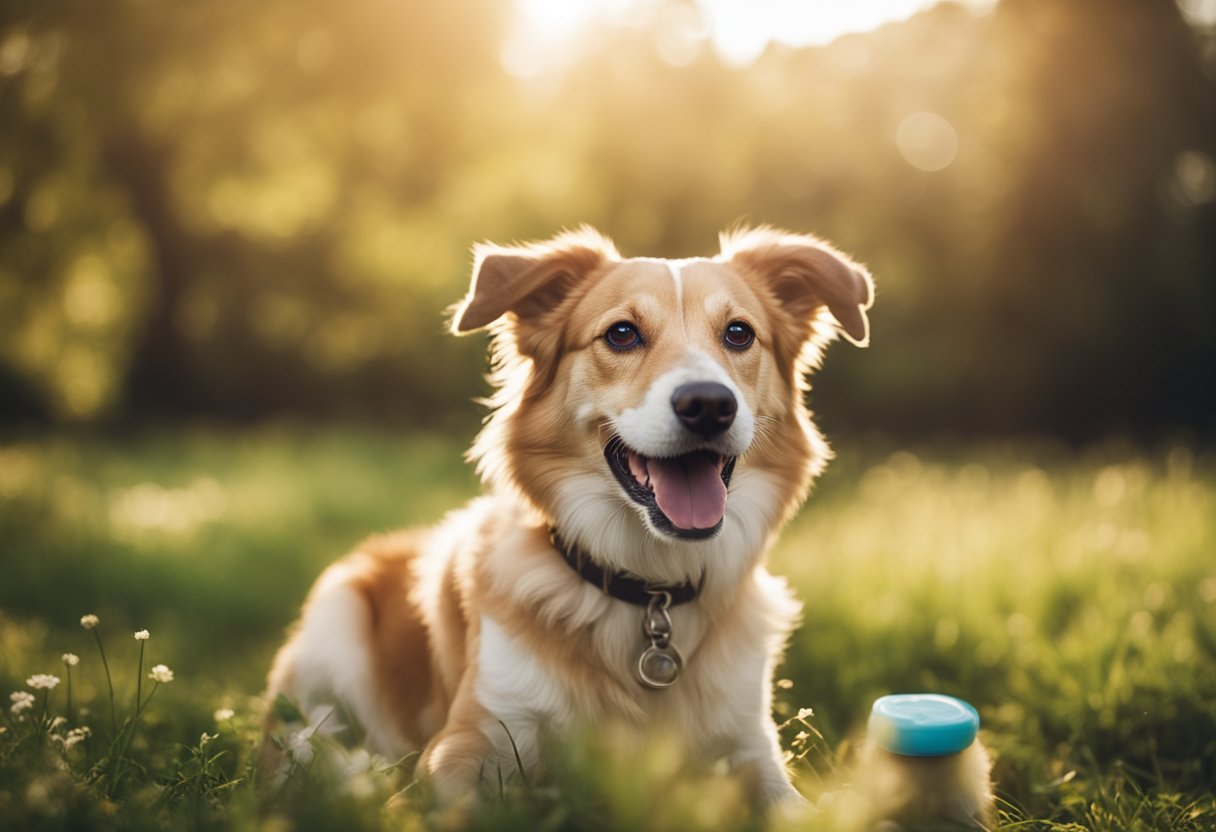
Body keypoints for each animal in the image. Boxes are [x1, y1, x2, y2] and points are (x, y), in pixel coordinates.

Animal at [263, 223, 987, 822]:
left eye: (739, 333)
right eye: (621, 333)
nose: (708, 404)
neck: (650, 592)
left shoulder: (749, 749)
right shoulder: (471, 745)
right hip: (335, 622)